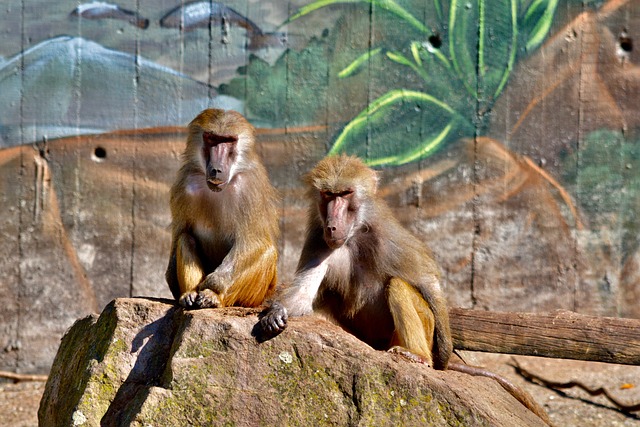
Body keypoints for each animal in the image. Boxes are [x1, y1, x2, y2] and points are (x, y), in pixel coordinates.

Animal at [165, 108, 279, 309]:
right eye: (212, 139)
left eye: (228, 140)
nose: (217, 170)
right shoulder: (184, 185)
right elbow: (179, 235)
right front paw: (179, 288)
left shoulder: (250, 188)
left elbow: (254, 242)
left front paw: (213, 286)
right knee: (186, 239)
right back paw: (190, 295)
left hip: (256, 296)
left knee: (267, 251)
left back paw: (213, 297)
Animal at [258, 154, 452, 369]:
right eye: (328, 194)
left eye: (345, 193)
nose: (332, 227)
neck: (353, 237)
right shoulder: (318, 240)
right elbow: (302, 296)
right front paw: (276, 312)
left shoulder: (388, 236)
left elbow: (427, 278)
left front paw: (444, 353)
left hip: (424, 325)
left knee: (398, 285)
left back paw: (418, 355)